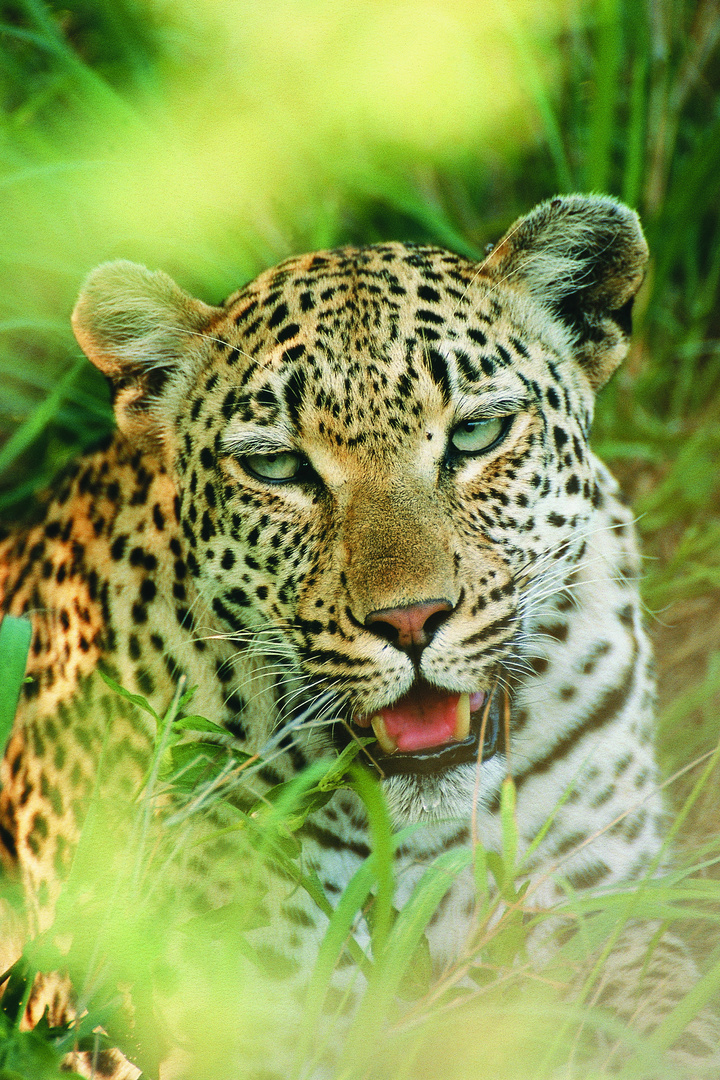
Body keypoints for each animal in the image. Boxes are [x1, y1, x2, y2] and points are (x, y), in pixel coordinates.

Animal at [1, 196, 720, 1080]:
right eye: (278, 469)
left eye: (477, 434)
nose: (410, 620)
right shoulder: (244, 1018)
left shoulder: (605, 918)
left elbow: (672, 1028)